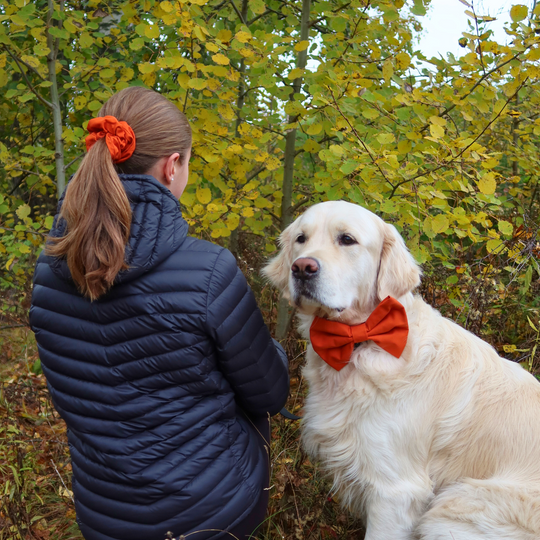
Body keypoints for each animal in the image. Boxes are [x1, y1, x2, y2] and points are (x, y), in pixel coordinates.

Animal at [264, 201, 540, 540]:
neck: (361, 342)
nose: (302, 267)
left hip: (455, 507)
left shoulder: (395, 491)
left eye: (347, 239)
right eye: (301, 238)